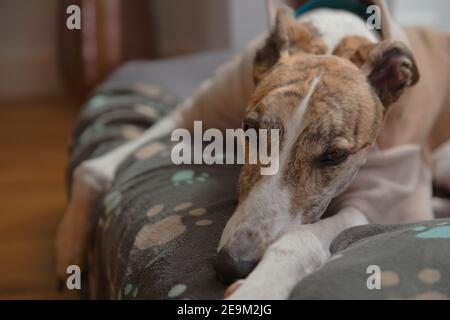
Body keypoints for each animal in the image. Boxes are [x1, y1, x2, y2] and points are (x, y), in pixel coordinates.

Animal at [56, 0, 450, 300]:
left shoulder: (390, 202)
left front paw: (259, 285)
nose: (233, 265)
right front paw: (70, 254)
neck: (335, 36)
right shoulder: (187, 116)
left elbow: (307, 235)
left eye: (334, 156)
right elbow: (93, 169)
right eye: (250, 130)